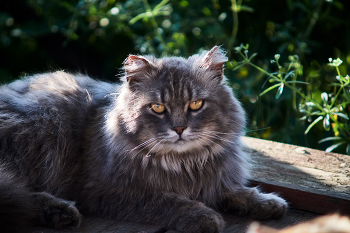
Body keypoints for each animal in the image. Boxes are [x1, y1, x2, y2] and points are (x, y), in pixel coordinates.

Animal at [0, 46, 288, 232]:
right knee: (21, 195)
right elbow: (167, 201)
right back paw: (60, 212)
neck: (185, 163)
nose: (179, 128)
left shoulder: (216, 180)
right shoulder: (107, 191)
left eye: (196, 104)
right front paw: (203, 215)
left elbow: (235, 190)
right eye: (158, 108)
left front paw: (266, 202)